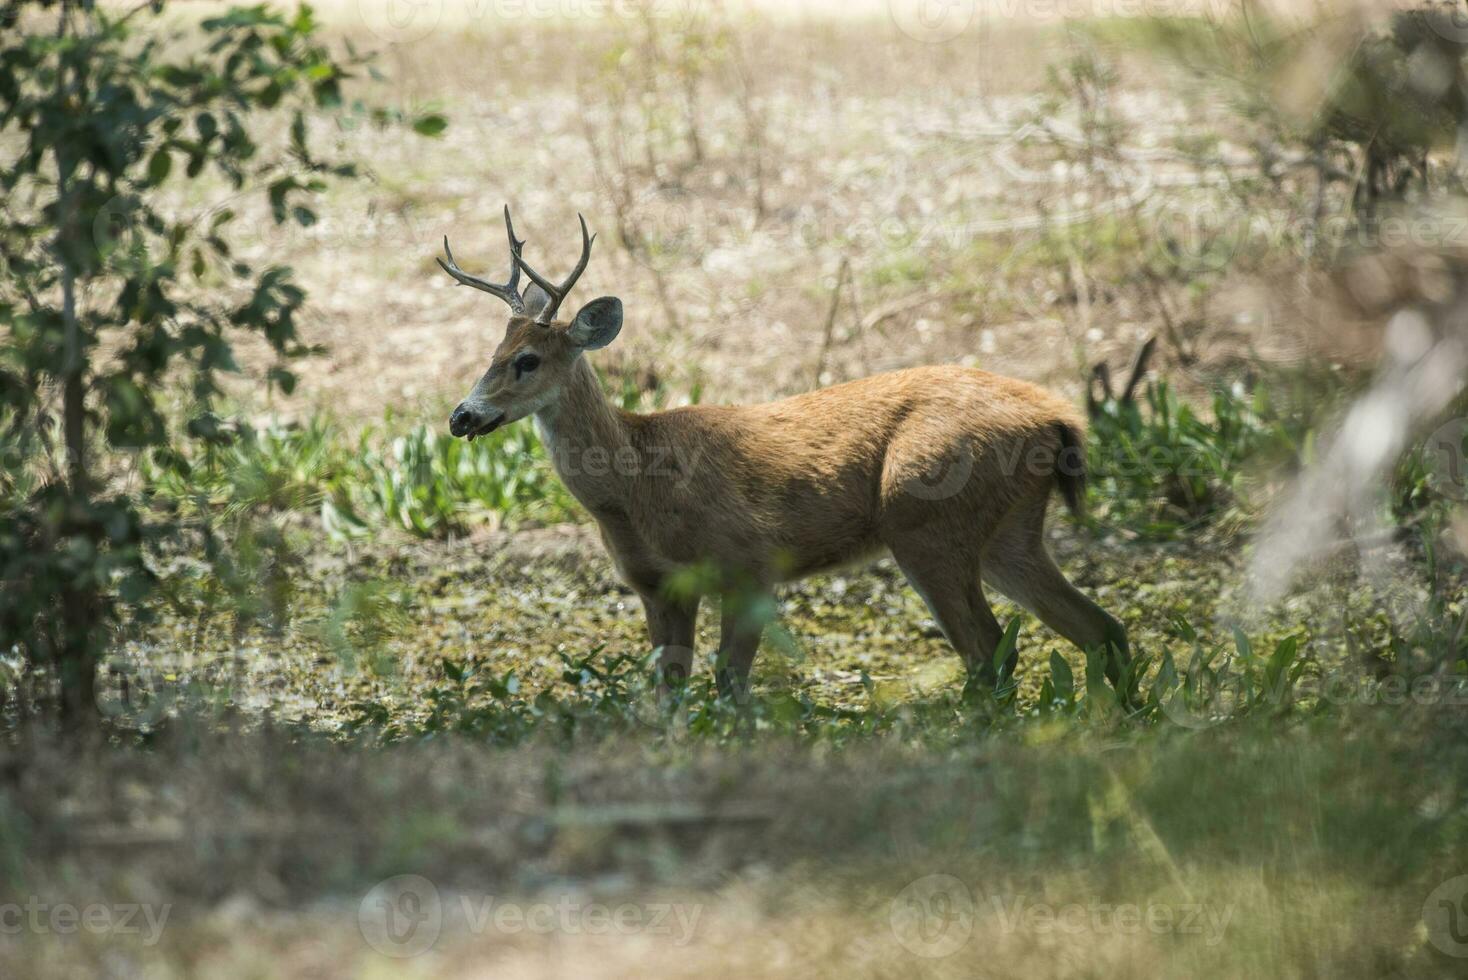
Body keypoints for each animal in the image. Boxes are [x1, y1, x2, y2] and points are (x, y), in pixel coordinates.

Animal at [440, 206, 1127, 701]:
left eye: (528, 360)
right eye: (491, 354)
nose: (461, 416)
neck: (634, 487)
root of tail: (1059, 418)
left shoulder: (749, 562)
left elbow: (729, 685)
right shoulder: (657, 586)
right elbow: (666, 695)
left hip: (928, 521)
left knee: (989, 652)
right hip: (1007, 533)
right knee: (1100, 629)